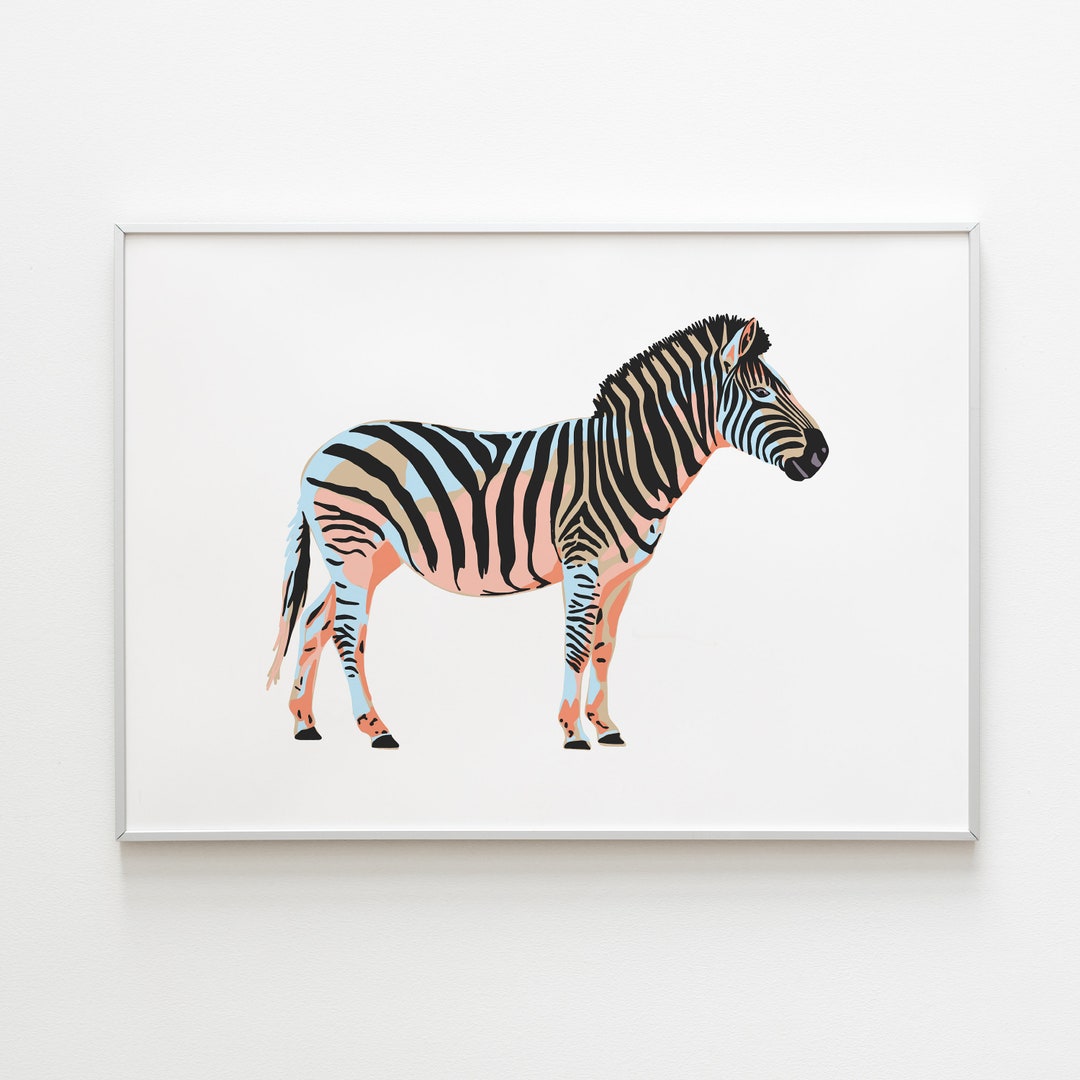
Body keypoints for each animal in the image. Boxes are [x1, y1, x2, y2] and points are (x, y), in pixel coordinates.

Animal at [267, 314, 828, 749]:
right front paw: (572, 732)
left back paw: (305, 724)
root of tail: (322, 449)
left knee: (315, 620)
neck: (628, 463)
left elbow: (603, 646)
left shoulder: (621, 574)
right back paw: (375, 728)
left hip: (371, 554)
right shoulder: (582, 560)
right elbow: (576, 644)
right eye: (761, 393)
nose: (822, 454)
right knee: (346, 631)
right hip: (353, 543)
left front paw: (606, 727)